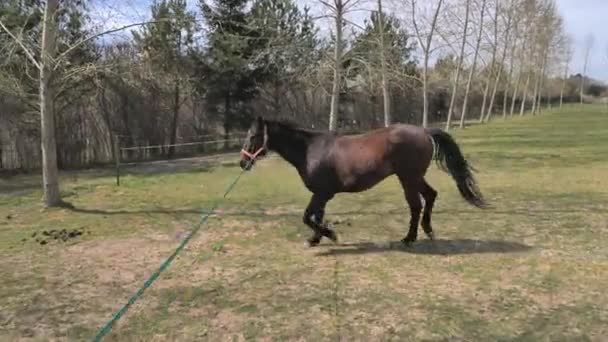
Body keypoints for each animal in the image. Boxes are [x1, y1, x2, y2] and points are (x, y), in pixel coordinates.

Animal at [238, 117, 484, 246]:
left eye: (253, 136)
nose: (242, 162)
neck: (310, 150)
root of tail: (424, 131)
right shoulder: (322, 194)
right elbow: (317, 216)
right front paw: (316, 238)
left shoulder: (322, 193)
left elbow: (308, 216)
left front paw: (331, 235)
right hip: (414, 178)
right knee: (430, 196)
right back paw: (428, 231)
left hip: (408, 178)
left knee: (416, 205)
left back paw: (409, 237)